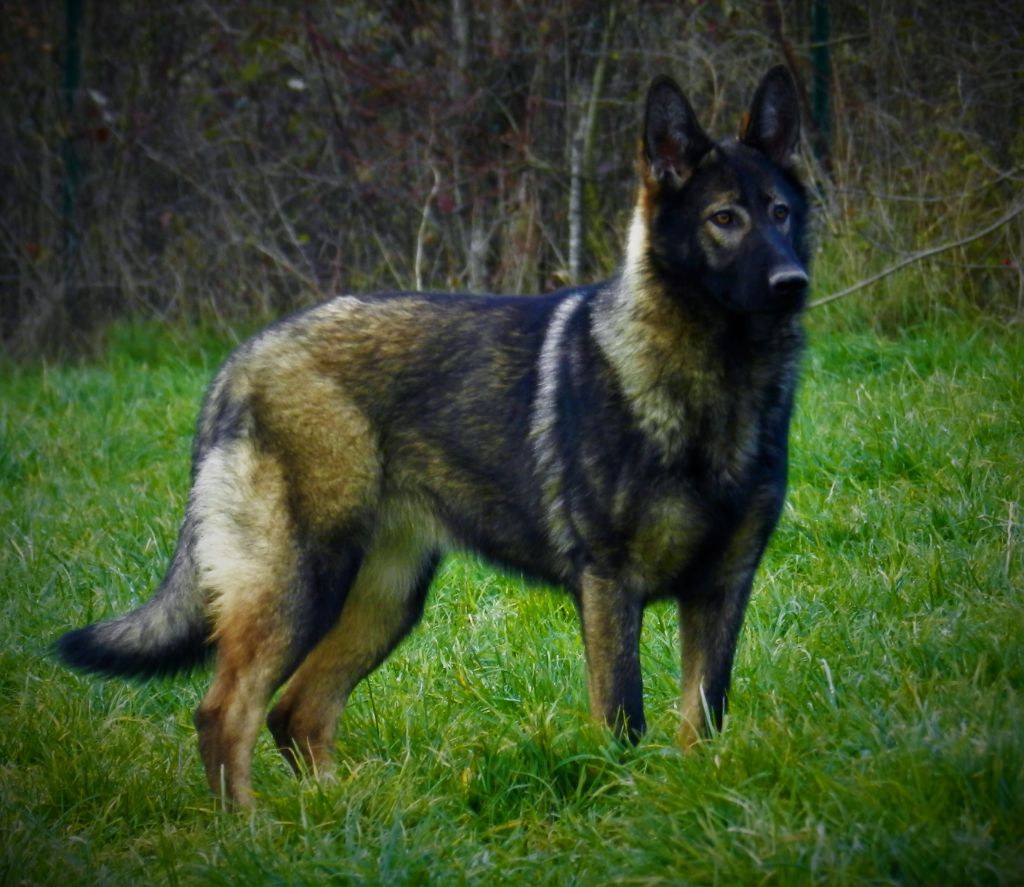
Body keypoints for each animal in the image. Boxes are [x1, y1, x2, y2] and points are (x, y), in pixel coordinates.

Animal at [57, 66, 810, 807]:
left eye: (780, 212)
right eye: (723, 218)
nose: (793, 282)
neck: (713, 380)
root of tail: (243, 359)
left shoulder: (722, 589)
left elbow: (703, 718)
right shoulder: (610, 587)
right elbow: (624, 720)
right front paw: (624, 808)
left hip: (385, 599)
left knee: (297, 711)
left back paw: (337, 814)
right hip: (300, 585)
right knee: (226, 713)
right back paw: (249, 828)